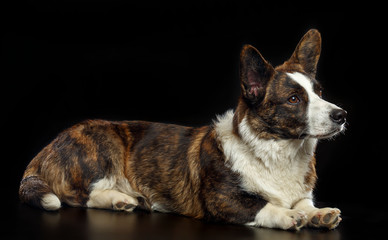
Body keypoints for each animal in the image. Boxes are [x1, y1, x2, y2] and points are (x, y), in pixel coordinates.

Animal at [19, 29, 346, 231]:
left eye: (319, 92)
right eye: (294, 99)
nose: (341, 115)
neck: (280, 152)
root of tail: (46, 148)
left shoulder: (300, 190)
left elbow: (305, 202)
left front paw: (318, 214)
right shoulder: (222, 200)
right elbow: (262, 205)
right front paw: (290, 215)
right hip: (103, 142)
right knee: (76, 195)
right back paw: (119, 199)